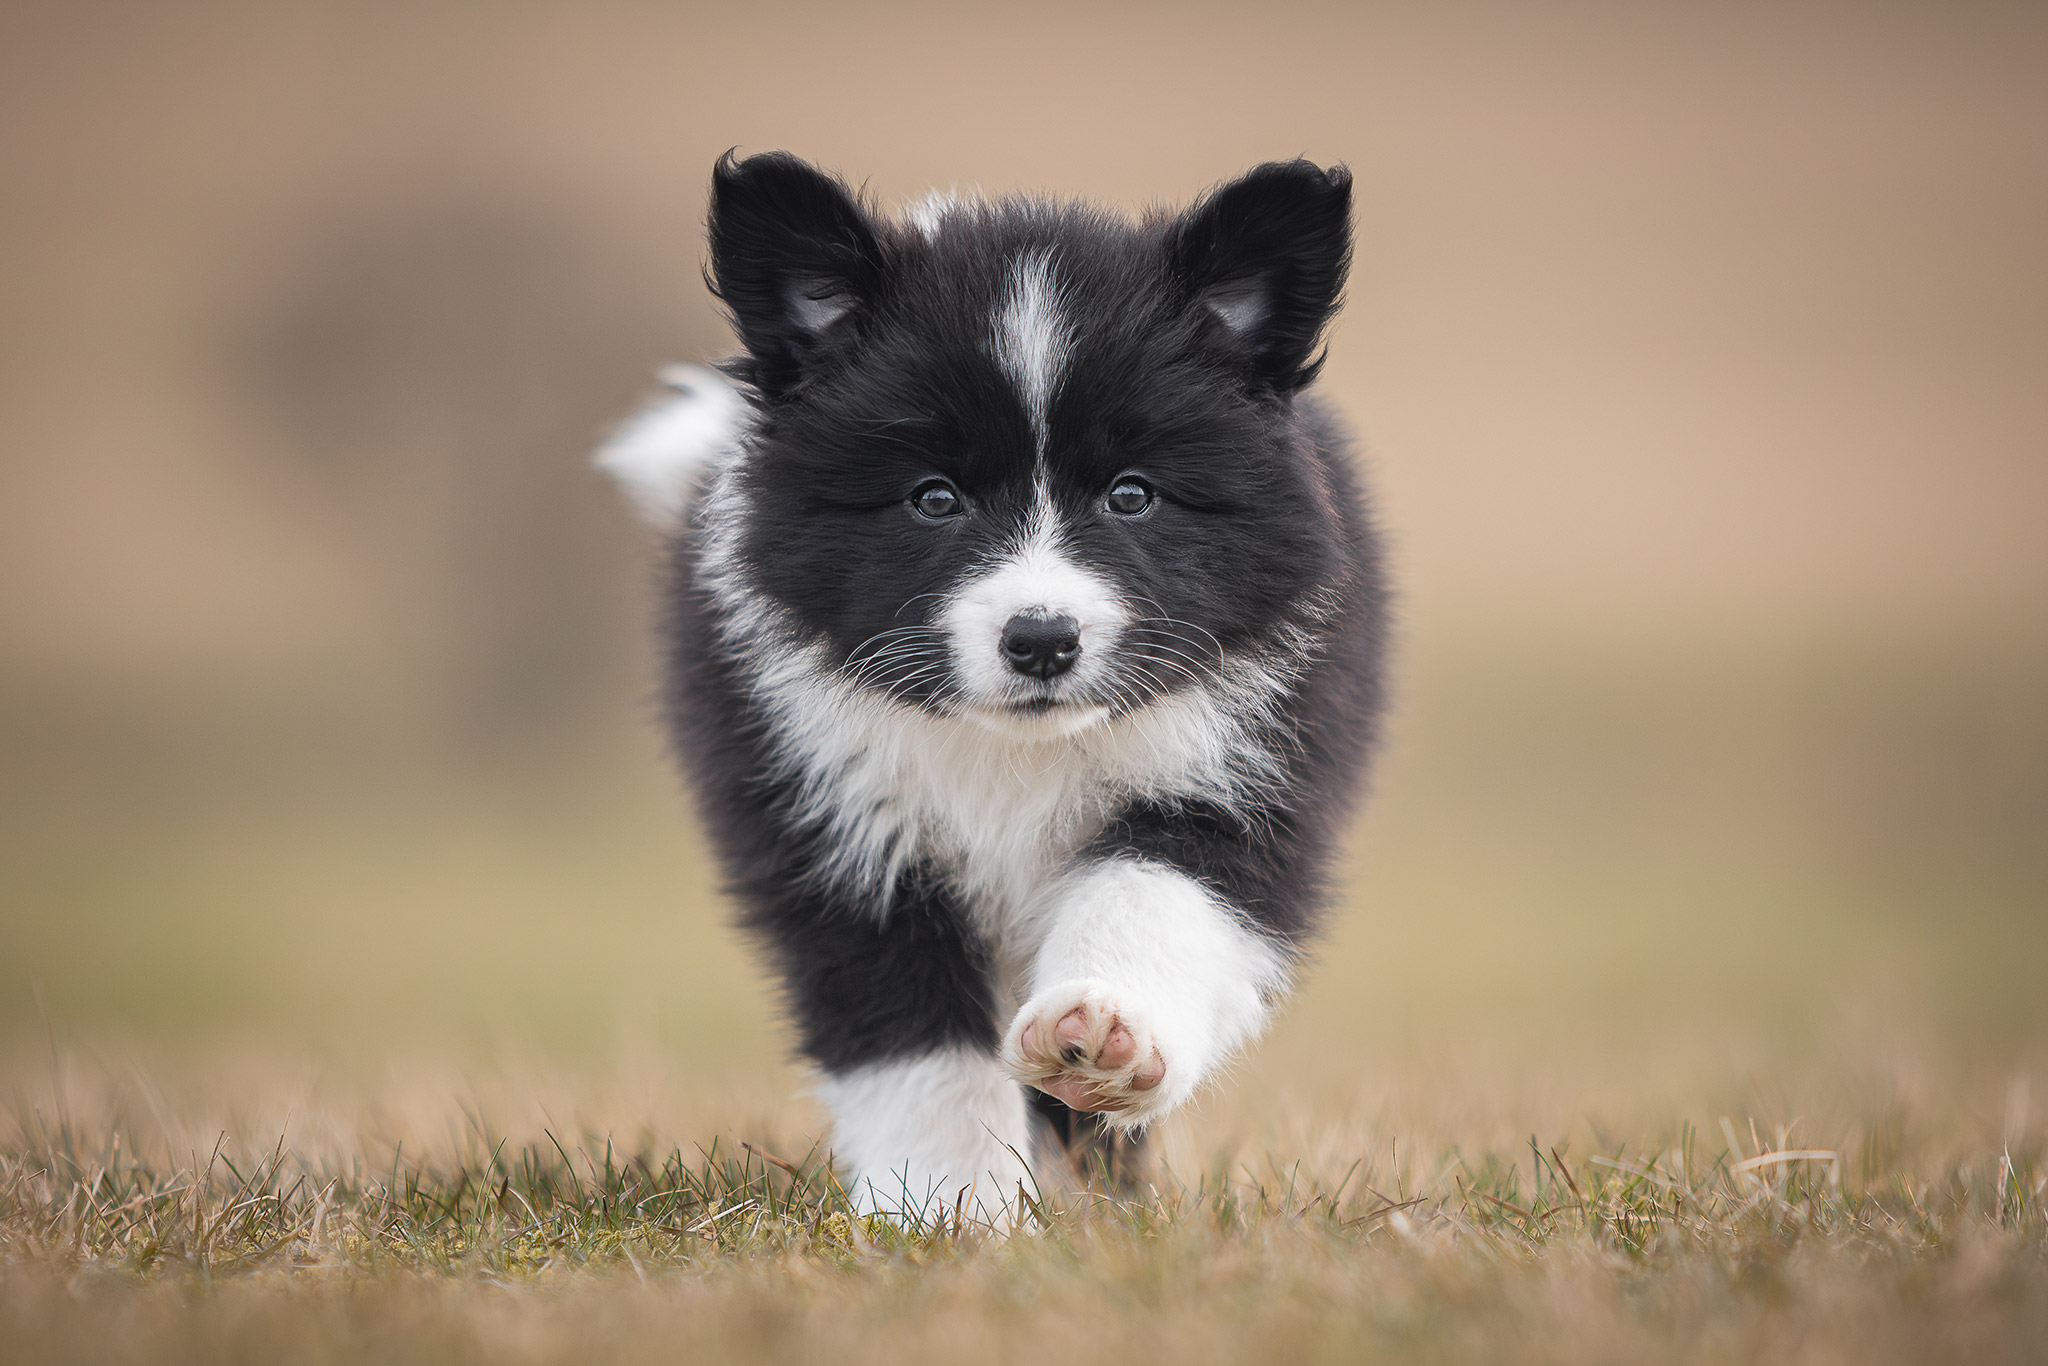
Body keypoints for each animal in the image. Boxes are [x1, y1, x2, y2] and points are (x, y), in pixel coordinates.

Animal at [598, 149, 1392, 1220]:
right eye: (934, 499)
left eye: (1132, 494)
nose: (1042, 641)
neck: (1018, 751)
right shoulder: (834, 831)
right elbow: (913, 1039)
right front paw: (948, 1208)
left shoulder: (1245, 774)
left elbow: (1157, 898)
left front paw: (1104, 1030)